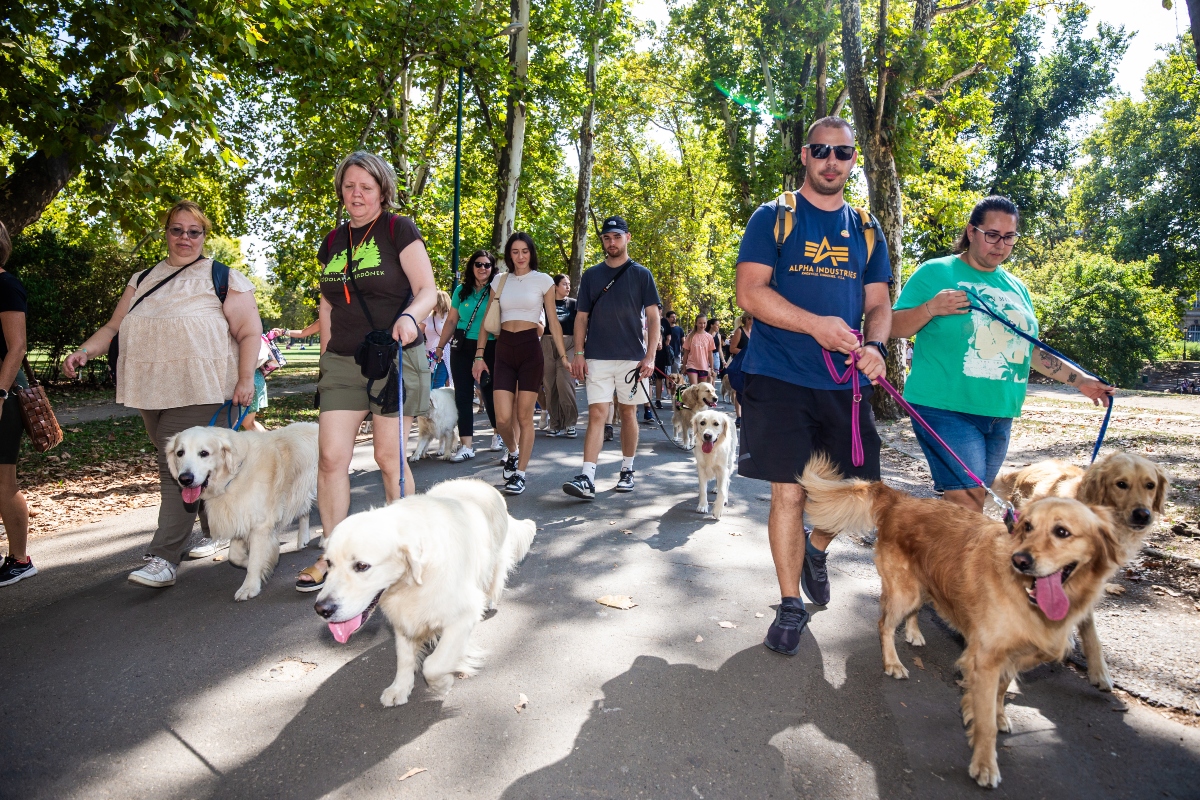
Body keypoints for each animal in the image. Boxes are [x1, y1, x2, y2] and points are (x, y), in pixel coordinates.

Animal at [169, 424, 321, 599]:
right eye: (180, 453)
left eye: (204, 453)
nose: (185, 479)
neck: (234, 474)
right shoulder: (239, 516)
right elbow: (235, 556)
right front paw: (262, 564)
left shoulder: (260, 524)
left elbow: (255, 558)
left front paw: (249, 587)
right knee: (305, 511)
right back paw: (303, 539)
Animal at [314, 479, 535, 705]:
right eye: (328, 563)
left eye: (361, 566)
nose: (321, 609)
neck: (414, 580)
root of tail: (481, 483)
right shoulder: (402, 618)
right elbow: (404, 657)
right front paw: (400, 688)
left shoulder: (463, 615)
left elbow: (434, 664)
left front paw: (442, 684)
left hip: (495, 560)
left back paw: (489, 601)